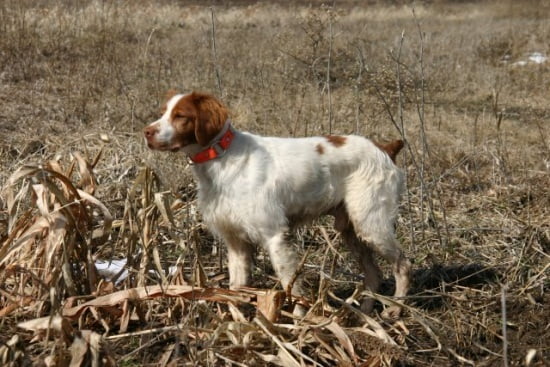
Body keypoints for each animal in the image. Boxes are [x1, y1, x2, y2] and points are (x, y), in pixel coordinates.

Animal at [144, 92, 412, 320]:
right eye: (163, 112)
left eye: (181, 116)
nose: (146, 132)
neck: (222, 159)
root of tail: (384, 148)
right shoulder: (236, 244)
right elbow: (236, 289)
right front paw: (239, 323)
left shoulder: (275, 236)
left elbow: (290, 286)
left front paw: (300, 322)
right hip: (352, 230)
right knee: (374, 275)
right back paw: (364, 314)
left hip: (371, 224)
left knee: (402, 264)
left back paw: (396, 309)